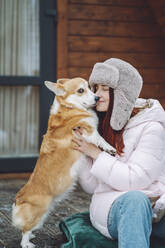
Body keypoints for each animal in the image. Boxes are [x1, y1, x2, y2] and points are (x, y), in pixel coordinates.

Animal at [12, 77, 115, 248]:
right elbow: (100, 139)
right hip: (39, 211)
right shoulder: (87, 131)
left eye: (90, 87)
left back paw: (32, 235)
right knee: (25, 229)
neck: (70, 107)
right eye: (81, 90)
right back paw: (27, 243)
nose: (97, 98)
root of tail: (18, 199)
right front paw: (110, 148)